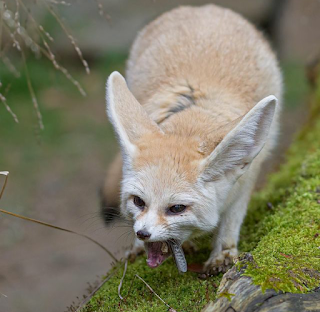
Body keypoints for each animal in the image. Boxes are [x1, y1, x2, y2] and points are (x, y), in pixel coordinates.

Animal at [102, 4, 282, 272]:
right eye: (138, 202)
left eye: (177, 208)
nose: (143, 233)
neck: (190, 120)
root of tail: (203, 8)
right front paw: (140, 248)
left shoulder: (246, 178)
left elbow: (231, 219)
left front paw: (223, 253)